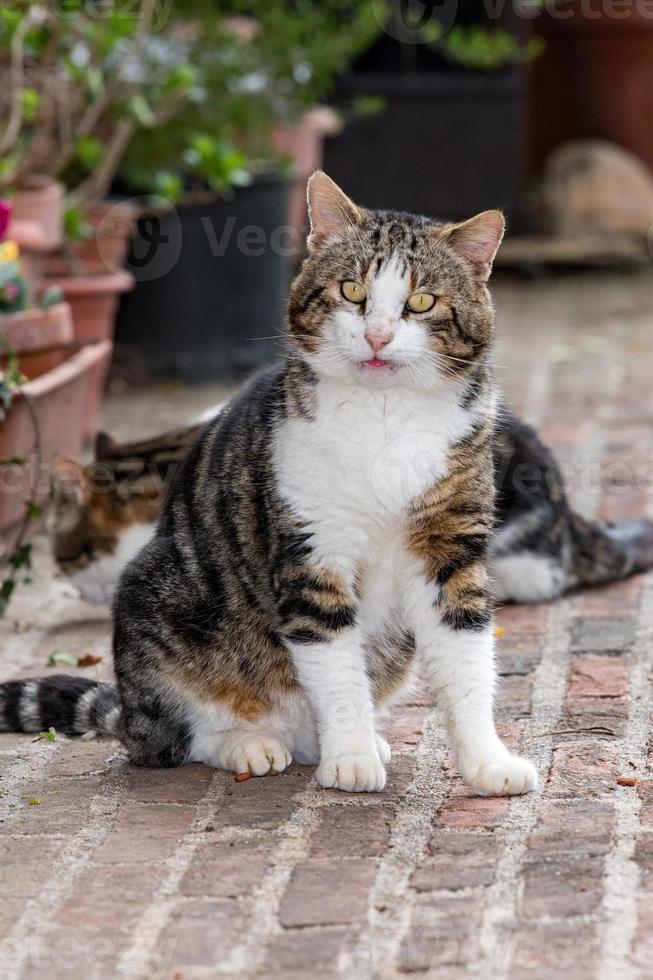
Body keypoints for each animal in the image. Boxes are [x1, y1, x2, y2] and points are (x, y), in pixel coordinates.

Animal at [3, 172, 652, 796]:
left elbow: (467, 661)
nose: (379, 335)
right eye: (352, 292)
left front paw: (486, 763)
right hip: (153, 602)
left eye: (421, 301)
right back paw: (252, 743)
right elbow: (335, 667)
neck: (385, 418)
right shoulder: (313, 554)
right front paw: (352, 759)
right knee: (176, 736)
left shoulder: (452, 550)